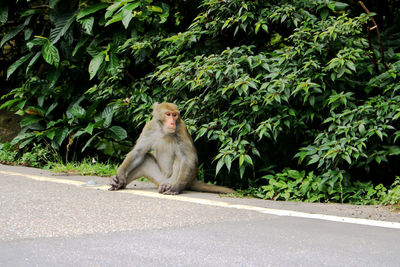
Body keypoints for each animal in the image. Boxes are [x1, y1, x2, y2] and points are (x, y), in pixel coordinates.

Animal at [108, 101, 236, 196]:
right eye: (168, 114)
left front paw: (176, 188)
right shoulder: (150, 127)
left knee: (180, 158)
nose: (172, 123)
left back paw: (170, 186)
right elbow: (138, 152)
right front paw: (119, 177)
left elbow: (188, 158)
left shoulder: (181, 129)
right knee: (145, 158)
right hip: (158, 178)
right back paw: (119, 185)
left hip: (177, 179)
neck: (164, 131)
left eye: (175, 115)